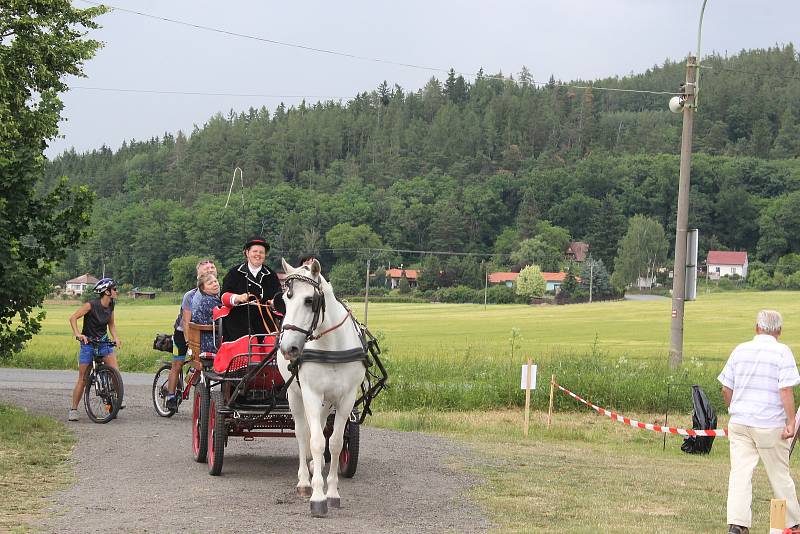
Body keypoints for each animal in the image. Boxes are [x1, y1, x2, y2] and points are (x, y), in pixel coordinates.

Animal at [278, 260, 366, 520]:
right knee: (301, 433)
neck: (331, 347)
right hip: (295, 395)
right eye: (285, 300)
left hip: (327, 402)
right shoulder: (310, 394)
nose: (288, 348)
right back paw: (304, 481)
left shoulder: (346, 398)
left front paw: (333, 493)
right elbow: (316, 441)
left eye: (310, 300)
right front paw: (318, 496)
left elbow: (335, 443)